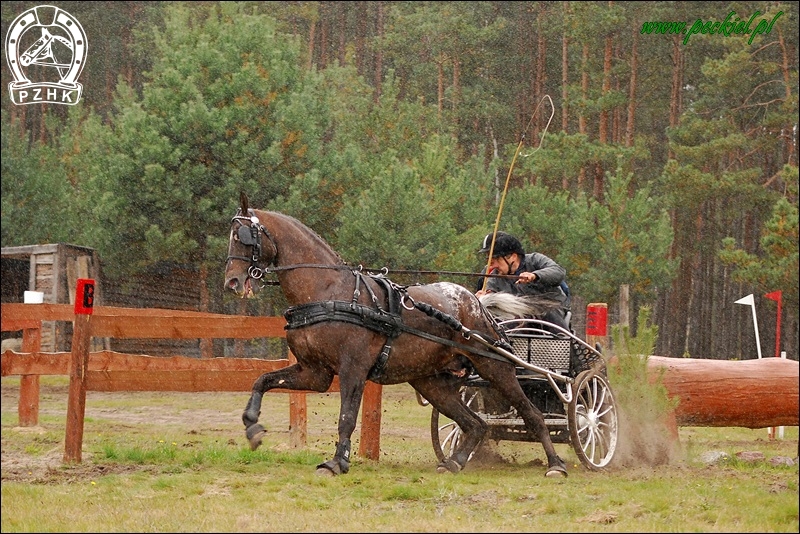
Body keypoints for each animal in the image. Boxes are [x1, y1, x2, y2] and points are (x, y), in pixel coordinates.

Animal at [222, 195, 564, 480]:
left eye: (243, 238)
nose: (232, 282)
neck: (328, 291)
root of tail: (475, 302)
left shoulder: (353, 368)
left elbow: (347, 416)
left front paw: (337, 462)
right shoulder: (314, 372)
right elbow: (263, 380)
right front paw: (253, 426)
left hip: (494, 367)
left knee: (531, 414)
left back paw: (556, 465)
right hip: (430, 381)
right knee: (475, 424)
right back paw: (454, 462)